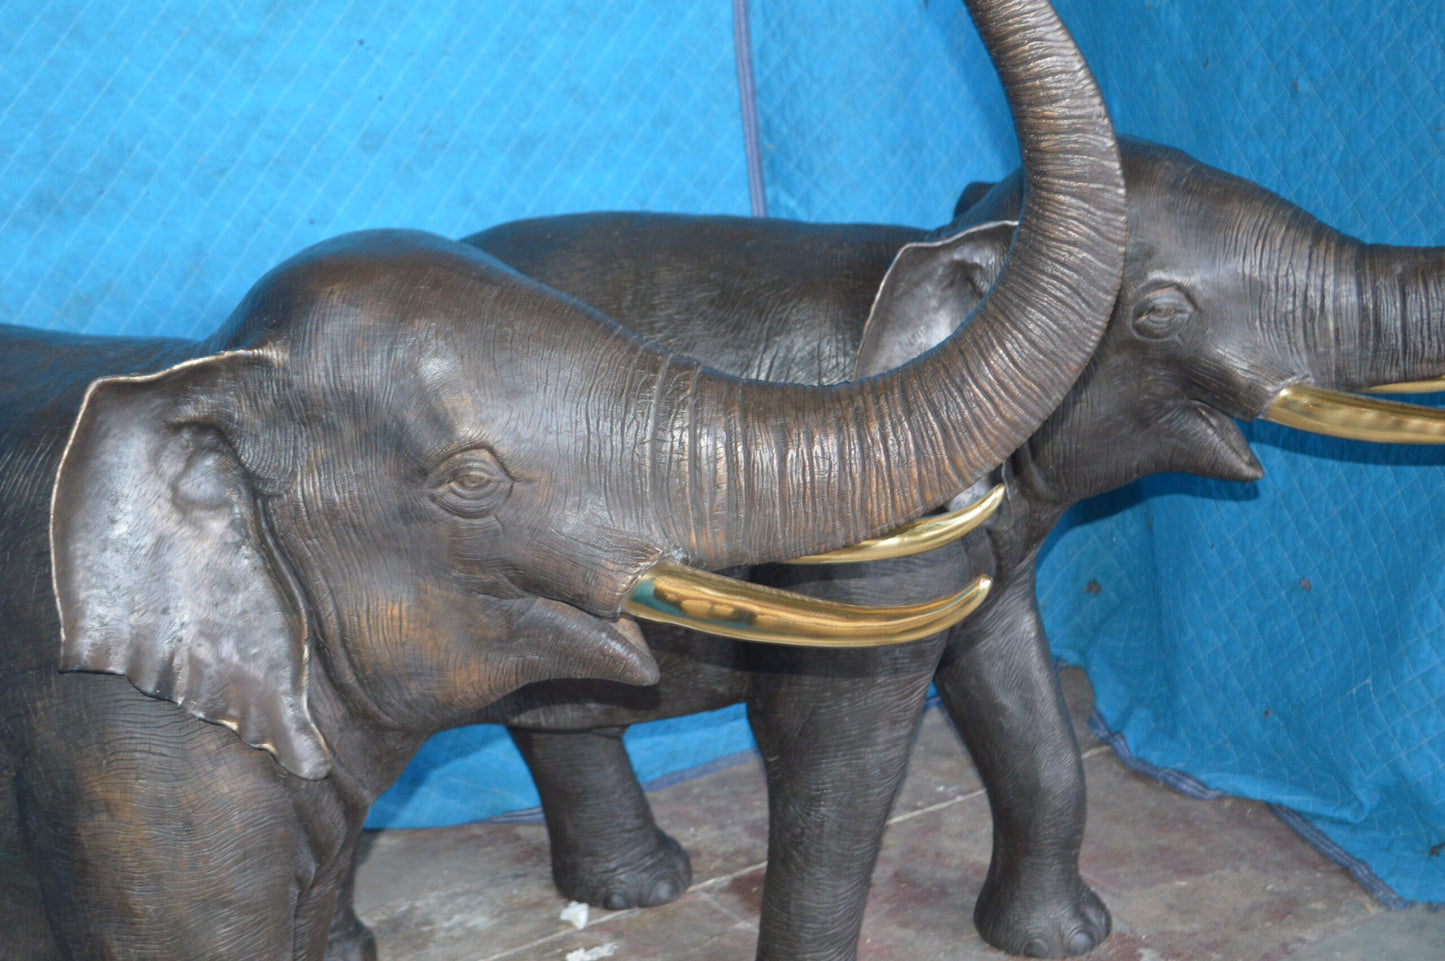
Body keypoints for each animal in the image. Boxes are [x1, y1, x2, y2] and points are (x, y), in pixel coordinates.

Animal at [365, 140, 1445, 959]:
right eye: (1161, 313)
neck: (960, 258)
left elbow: (1019, 696)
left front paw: (1063, 941)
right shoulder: (860, 542)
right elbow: (832, 747)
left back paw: (642, 887)